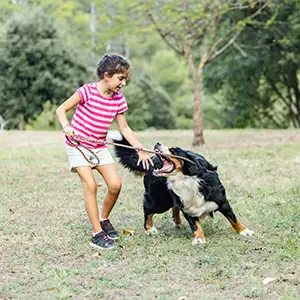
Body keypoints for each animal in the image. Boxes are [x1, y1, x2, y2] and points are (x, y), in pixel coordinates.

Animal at [109, 131, 254, 244]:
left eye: (173, 150)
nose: (157, 143)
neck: (187, 179)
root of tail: (152, 160)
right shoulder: (189, 208)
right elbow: (195, 226)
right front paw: (199, 239)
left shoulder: (222, 201)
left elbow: (233, 218)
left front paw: (244, 231)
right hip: (160, 200)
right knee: (148, 210)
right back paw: (149, 228)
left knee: (174, 207)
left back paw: (177, 222)